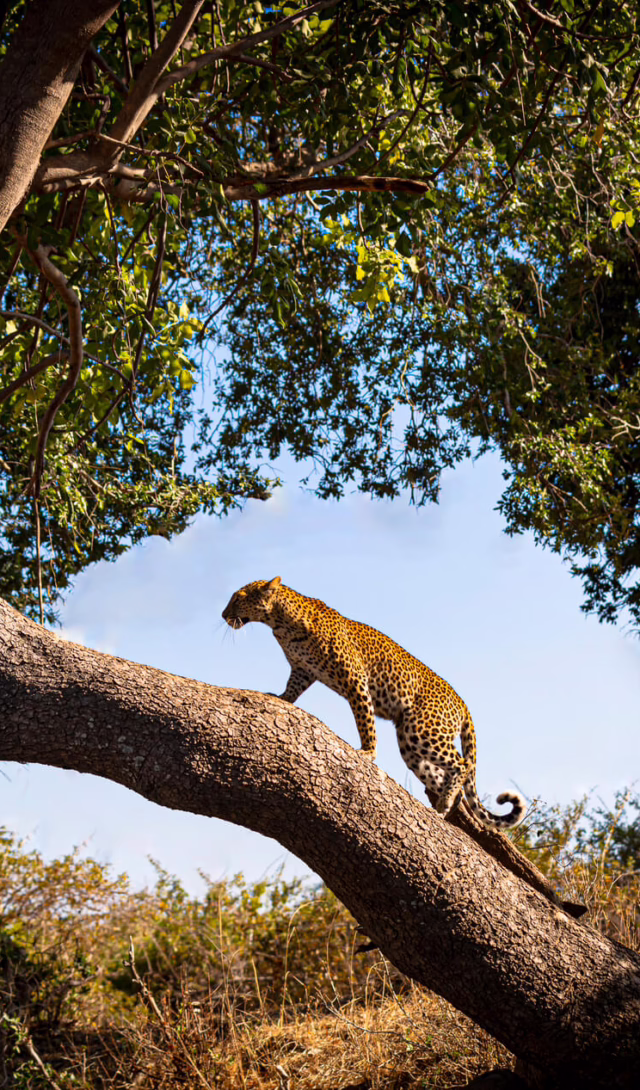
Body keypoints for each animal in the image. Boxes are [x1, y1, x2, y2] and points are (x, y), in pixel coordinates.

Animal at [222, 577, 526, 830]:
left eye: (237, 598)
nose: (224, 616)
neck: (280, 623)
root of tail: (463, 704)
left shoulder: (356, 680)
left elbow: (365, 721)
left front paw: (367, 752)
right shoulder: (303, 670)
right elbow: (292, 689)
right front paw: (280, 697)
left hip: (422, 729)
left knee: (462, 764)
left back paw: (443, 803)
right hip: (410, 744)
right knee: (449, 779)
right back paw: (441, 808)